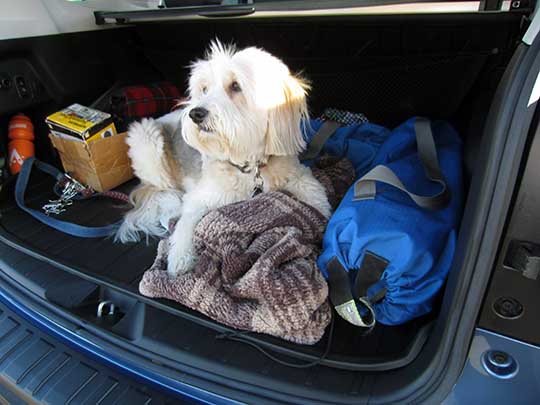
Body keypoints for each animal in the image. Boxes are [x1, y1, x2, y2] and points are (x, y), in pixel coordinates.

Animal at [116, 41, 332, 274]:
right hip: (145, 137)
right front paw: (180, 257)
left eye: (236, 86)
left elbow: (316, 199)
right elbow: (186, 221)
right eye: (204, 89)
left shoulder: (299, 174)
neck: (248, 164)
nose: (195, 114)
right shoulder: (200, 196)